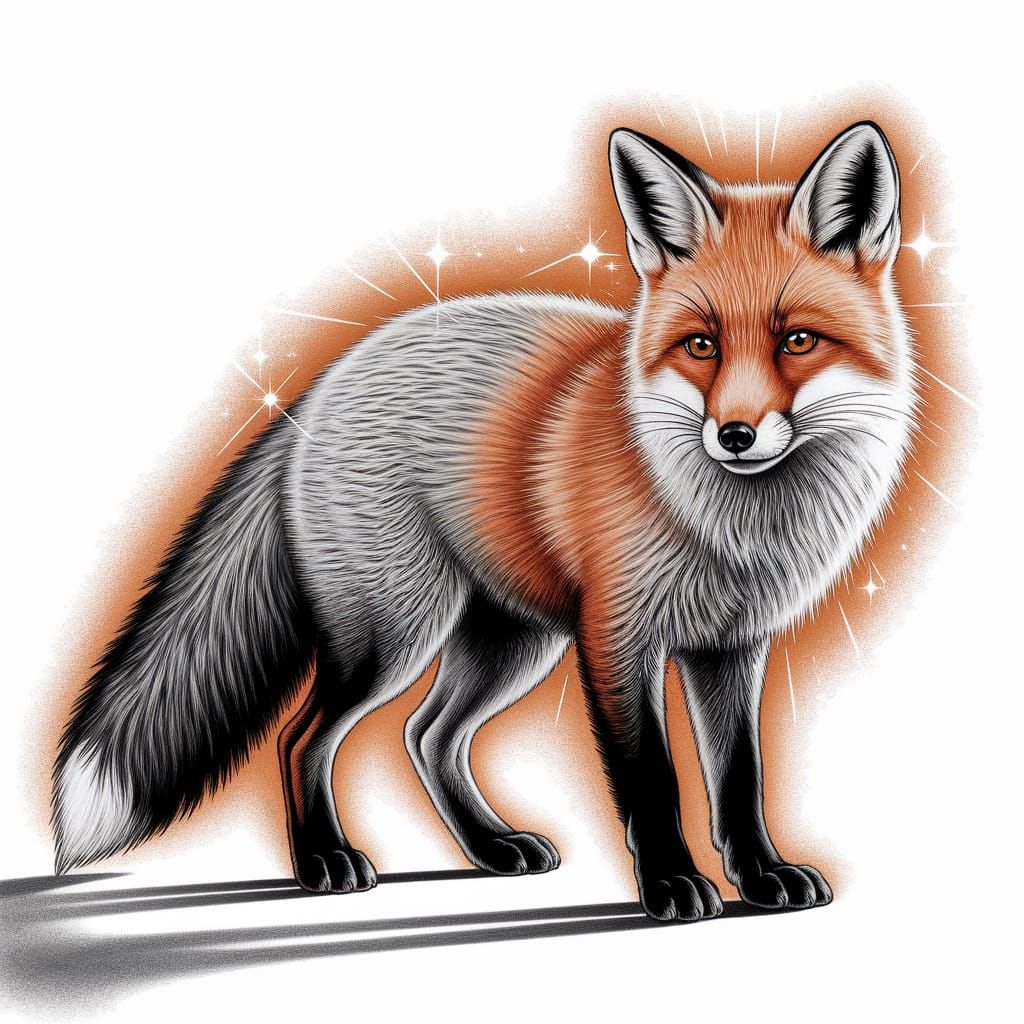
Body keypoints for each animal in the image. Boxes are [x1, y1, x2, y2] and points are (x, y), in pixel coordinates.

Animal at [52, 120, 913, 922]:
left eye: (797, 340)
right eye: (701, 345)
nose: (734, 435)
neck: (733, 528)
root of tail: (323, 385)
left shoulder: (730, 648)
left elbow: (739, 778)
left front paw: (761, 877)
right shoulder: (617, 638)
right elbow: (652, 780)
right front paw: (670, 884)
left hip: (511, 641)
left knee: (426, 736)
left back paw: (491, 848)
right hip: (393, 636)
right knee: (305, 736)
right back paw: (325, 861)